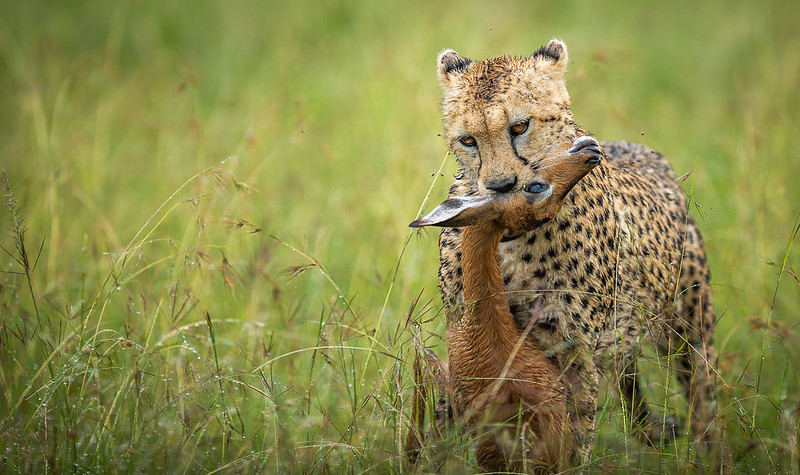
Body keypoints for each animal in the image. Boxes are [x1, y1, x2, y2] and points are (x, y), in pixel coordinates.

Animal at [432, 40, 720, 464]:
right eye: (468, 140)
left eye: (519, 126)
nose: (500, 186)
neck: (507, 241)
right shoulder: (470, 339)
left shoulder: (571, 350)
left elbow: (572, 437)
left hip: (688, 323)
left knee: (703, 395)